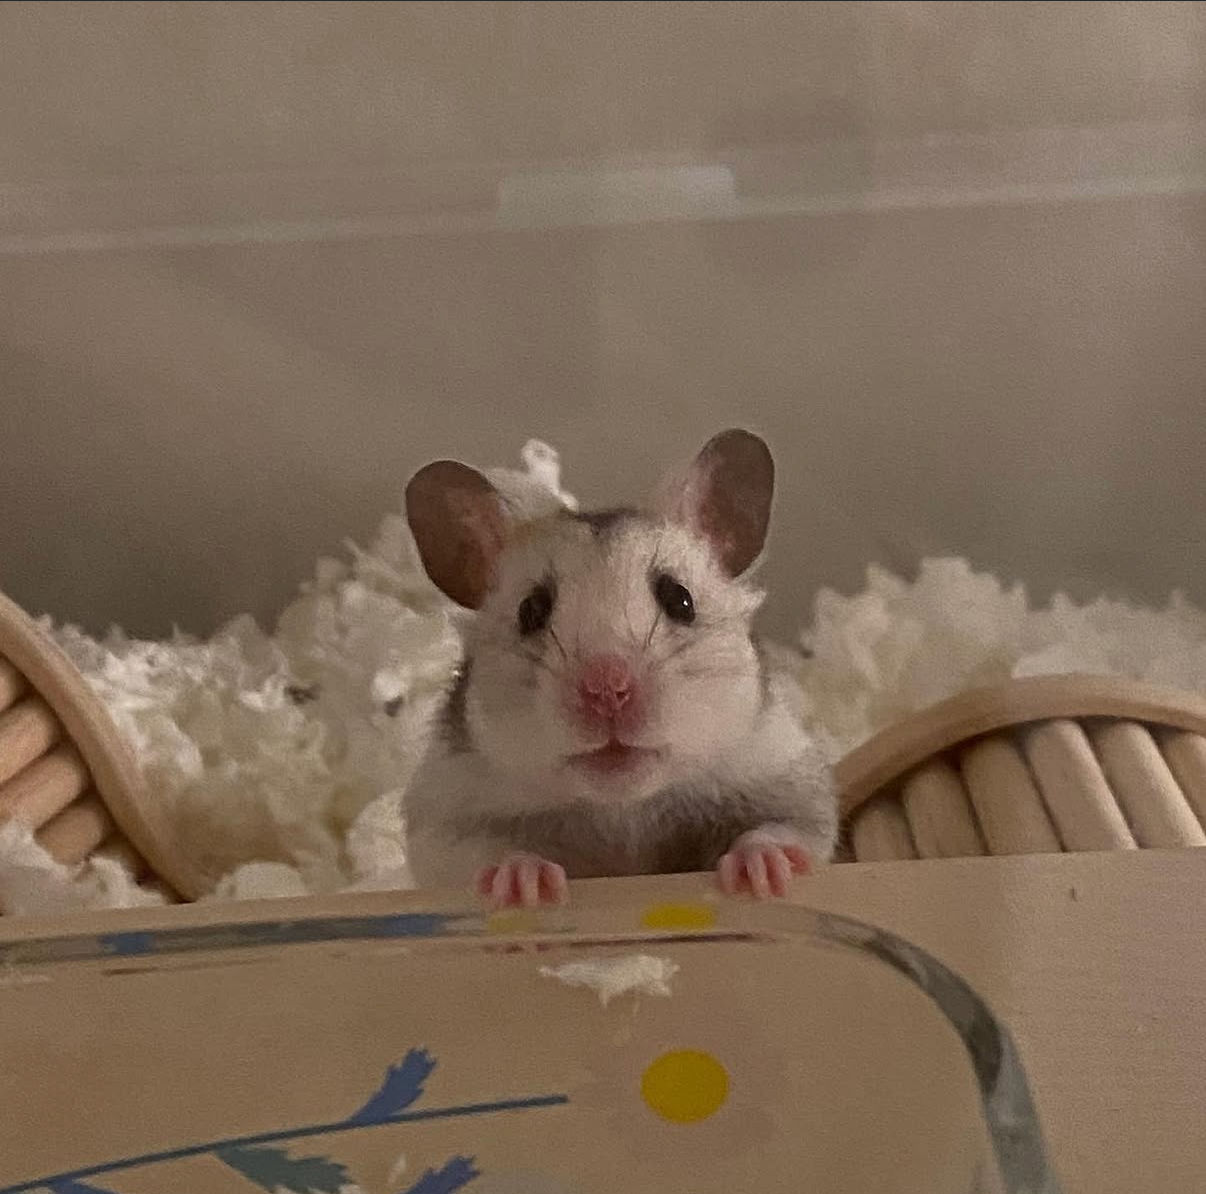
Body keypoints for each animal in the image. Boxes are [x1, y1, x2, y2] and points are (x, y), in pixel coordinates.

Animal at [402, 428, 837, 907]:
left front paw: (759, 874)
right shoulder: (443, 823)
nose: (608, 689)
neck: (621, 808)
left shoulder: (789, 781)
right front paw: (525, 886)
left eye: (680, 599)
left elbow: (782, 830)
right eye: (531, 611)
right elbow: (487, 855)